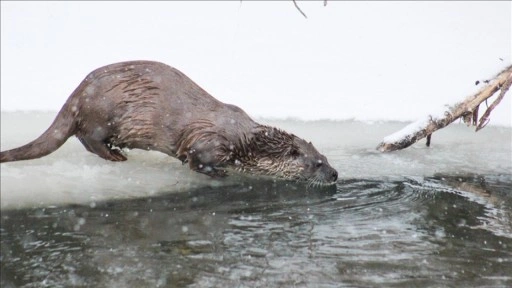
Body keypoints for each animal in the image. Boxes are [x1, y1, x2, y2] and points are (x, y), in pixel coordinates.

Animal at [1, 62, 340, 186]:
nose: (336, 173)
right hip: (101, 115)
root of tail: (77, 94)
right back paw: (116, 155)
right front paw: (219, 174)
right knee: (88, 139)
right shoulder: (209, 143)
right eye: (317, 163)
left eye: (325, 156)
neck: (246, 142)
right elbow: (195, 161)